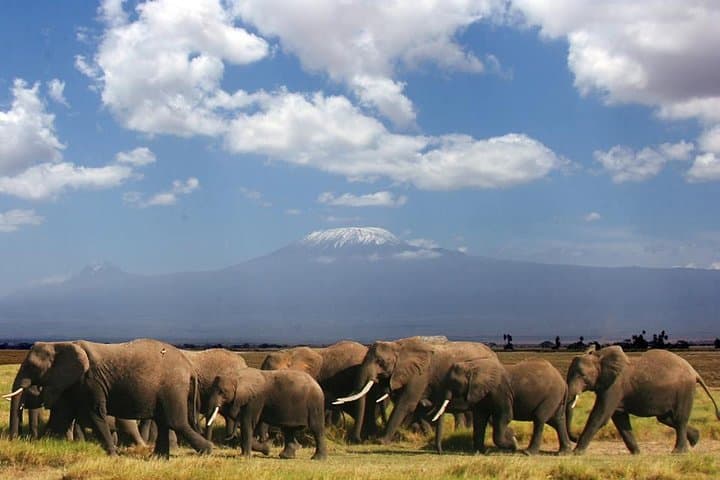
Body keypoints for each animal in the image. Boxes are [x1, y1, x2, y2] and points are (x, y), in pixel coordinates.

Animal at [3, 339, 212, 457]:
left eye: (31, 366)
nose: (13, 441)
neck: (61, 343)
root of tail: (189, 367)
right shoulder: (74, 383)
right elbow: (61, 417)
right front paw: (41, 447)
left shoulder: (91, 380)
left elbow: (95, 413)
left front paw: (113, 455)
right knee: (164, 422)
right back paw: (158, 458)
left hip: (172, 387)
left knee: (175, 422)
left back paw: (208, 451)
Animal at [333, 337, 496, 444]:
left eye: (381, 362)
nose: (356, 440)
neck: (398, 346)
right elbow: (415, 405)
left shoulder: (420, 374)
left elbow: (406, 403)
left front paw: (381, 441)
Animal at [433, 358, 571, 454]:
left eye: (454, 382)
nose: (441, 452)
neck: (472, 366)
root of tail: (564, 383)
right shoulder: (483, 395)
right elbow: (479, 420)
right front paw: (480, 452)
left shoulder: (500, 392)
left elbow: (505, 417)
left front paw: (513, 443)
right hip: (556, 398)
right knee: (557, 420)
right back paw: (564, 452)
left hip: (551, 395)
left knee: (540, 418)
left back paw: (528, 453)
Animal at [566, 345, 720, 454]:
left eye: (582, 376)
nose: (575, 437)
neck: (599, 357)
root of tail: (695, 372)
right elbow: (620, 419)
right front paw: (637, 453)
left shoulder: (615, 385)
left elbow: (600, 416)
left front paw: (577, 453)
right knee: (666, 419)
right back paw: (695, 439)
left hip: (685, 390)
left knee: (679, 419)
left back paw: (678, 452)